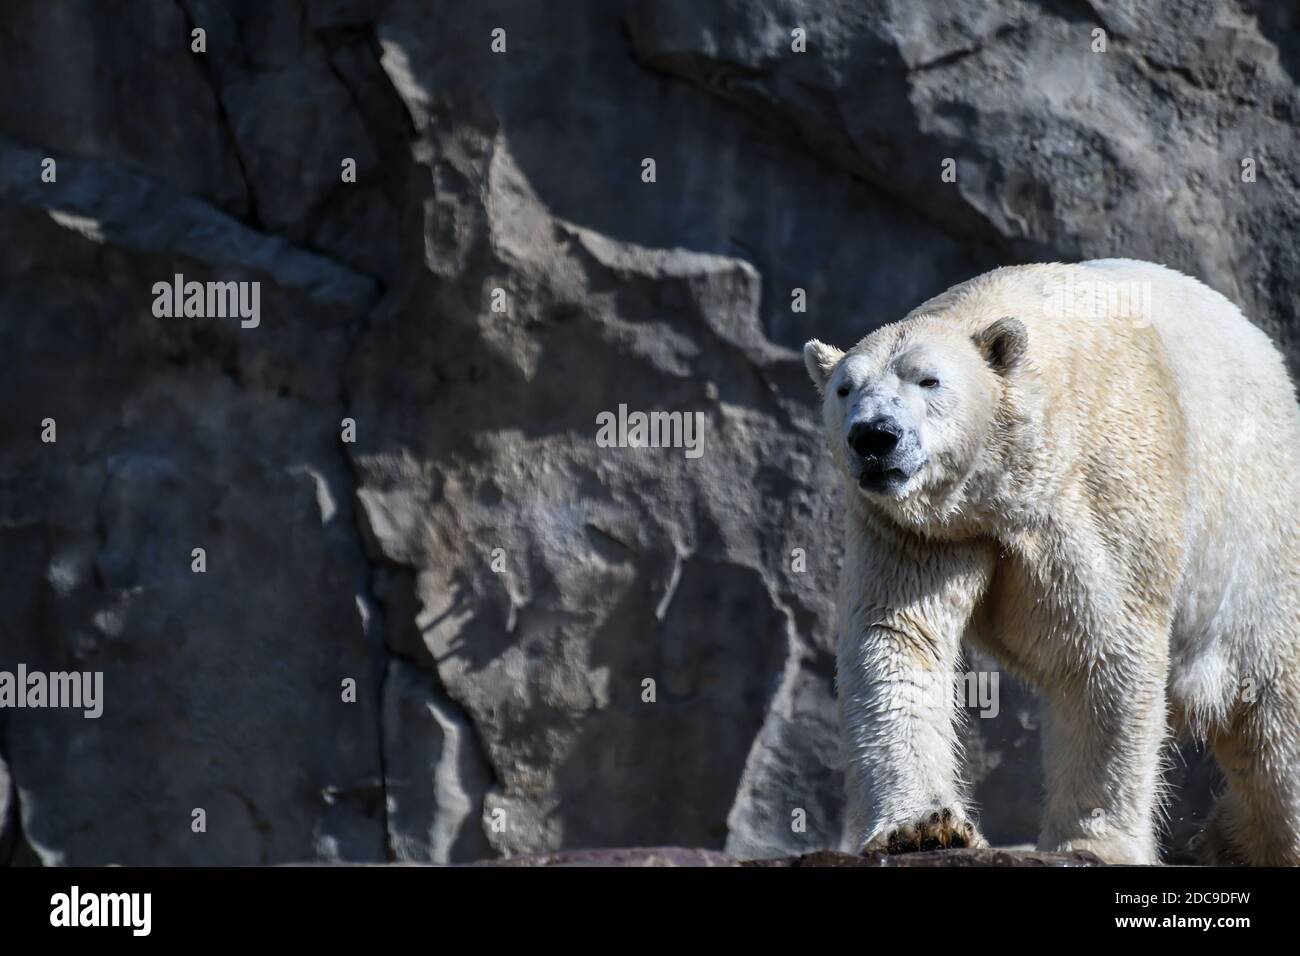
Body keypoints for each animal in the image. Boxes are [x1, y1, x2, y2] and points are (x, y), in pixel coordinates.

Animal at [800, 261, 1300, 868]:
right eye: (845, 388)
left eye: (929, 381)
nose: (874, 437)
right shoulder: (916, 527)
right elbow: (898, 634)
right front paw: (922, 828)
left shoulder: (1097, 492)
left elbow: (1106, 646)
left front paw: (1093, 841)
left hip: (1256, 544)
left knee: (1274, 717)